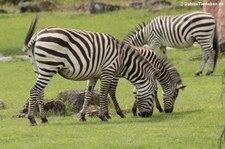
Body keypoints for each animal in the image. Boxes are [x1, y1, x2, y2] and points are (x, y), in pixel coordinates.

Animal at [22, 16, 160, 125]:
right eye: (153, 93)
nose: (147, 115)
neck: (122, 59)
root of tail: (37, 35)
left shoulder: (94, 75)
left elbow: (88, 94)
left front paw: (83, 116)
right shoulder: (108, 72)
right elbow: (104, 93)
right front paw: (103, 116)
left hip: (39, 68)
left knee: (40, 91)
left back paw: (43, 118)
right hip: (49, 67)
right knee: (34, 89)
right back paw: (31, 119)